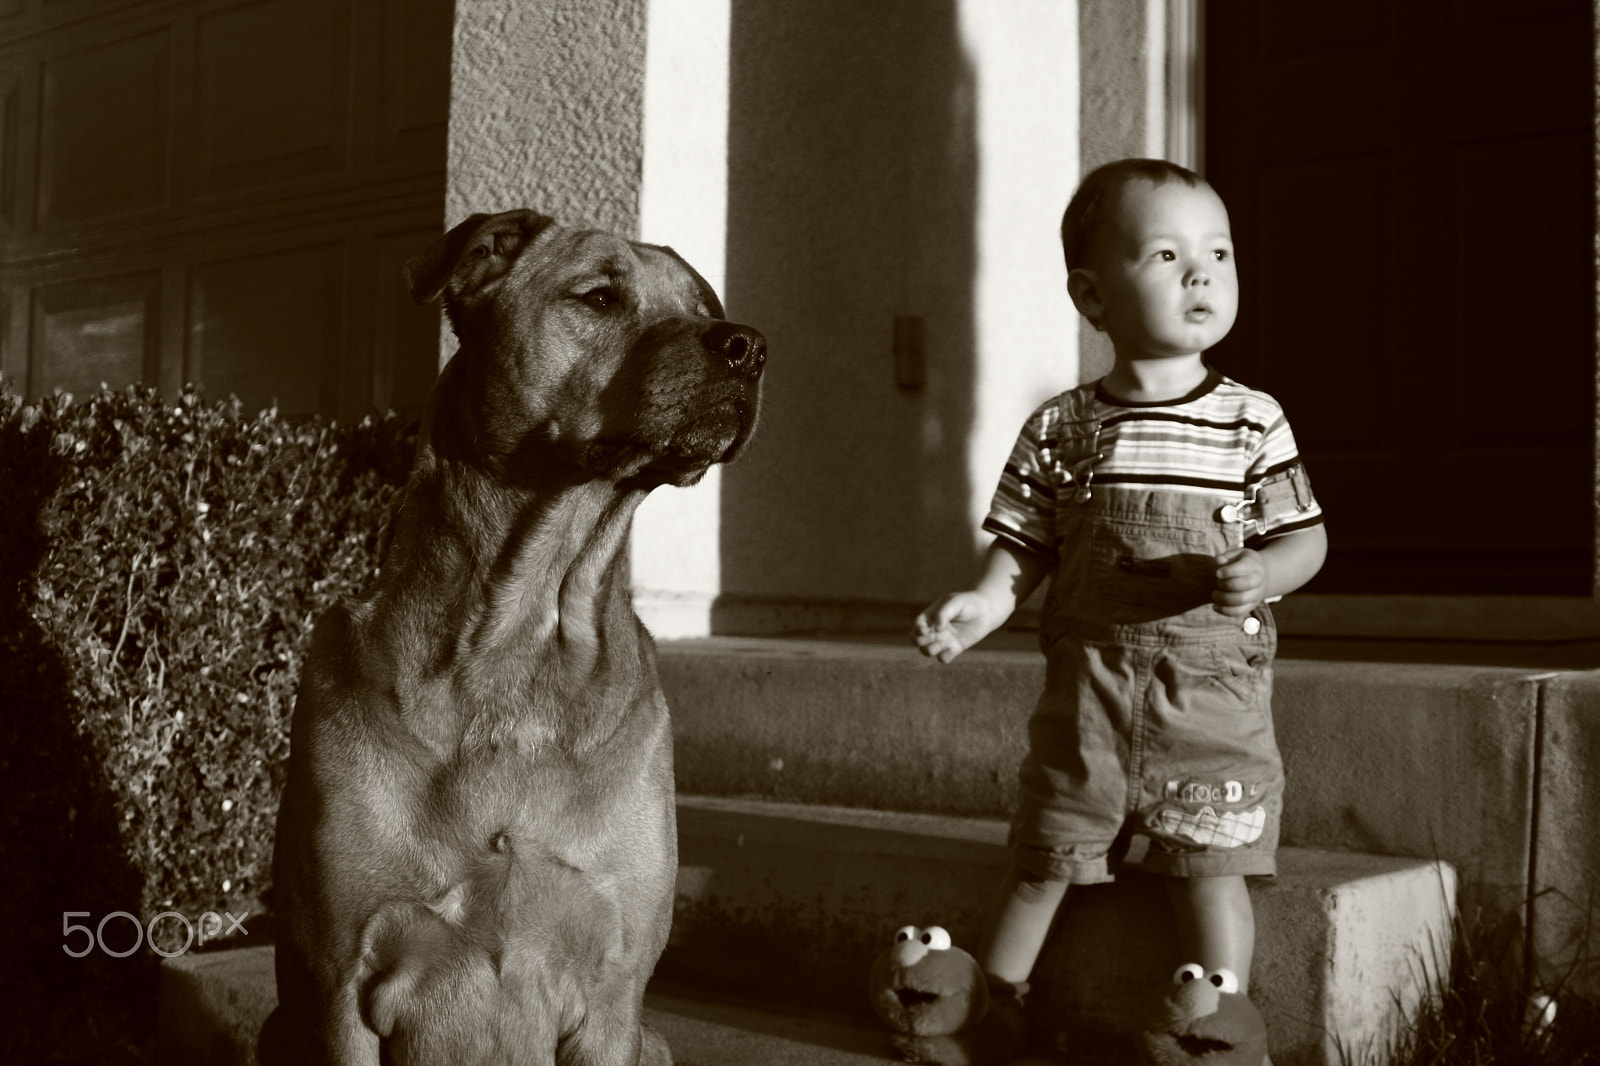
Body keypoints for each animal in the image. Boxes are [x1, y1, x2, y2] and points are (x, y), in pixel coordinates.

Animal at [257, 209, 768, 1062]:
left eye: (703, 306)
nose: (748, 346)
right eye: (599, 297)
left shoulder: (614, 992)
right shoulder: (341, 981)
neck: (523, 635)